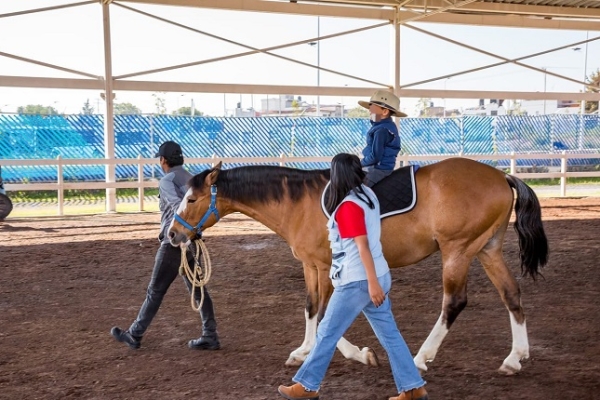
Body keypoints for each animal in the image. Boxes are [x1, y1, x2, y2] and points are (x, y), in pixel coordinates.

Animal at [168, 157, 548, 376]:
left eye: (191, 198)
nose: (171, 234)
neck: (298, 203)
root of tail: (501, 176)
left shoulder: (326, 267)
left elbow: (325, 314)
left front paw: (355, 354)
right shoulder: (312, 267)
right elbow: (312, 309)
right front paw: (305, 350)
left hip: (457, 251)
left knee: (453, 303)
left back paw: (420, 357)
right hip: (486, 249)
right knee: (511, 294)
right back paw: (515, 357)